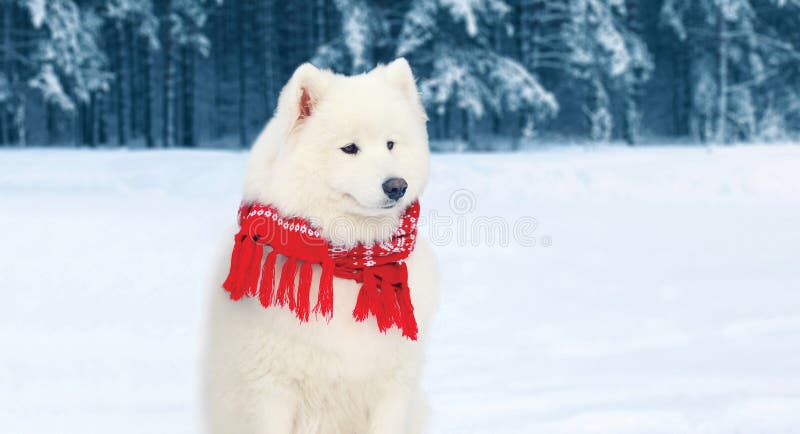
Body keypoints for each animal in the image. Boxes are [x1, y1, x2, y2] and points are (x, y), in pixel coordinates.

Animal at [200, 58, 438, 434]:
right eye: (350, 148)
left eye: (390, 144)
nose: (397, 185)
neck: (346, 260)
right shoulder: (270, 391)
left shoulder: (392, 390)